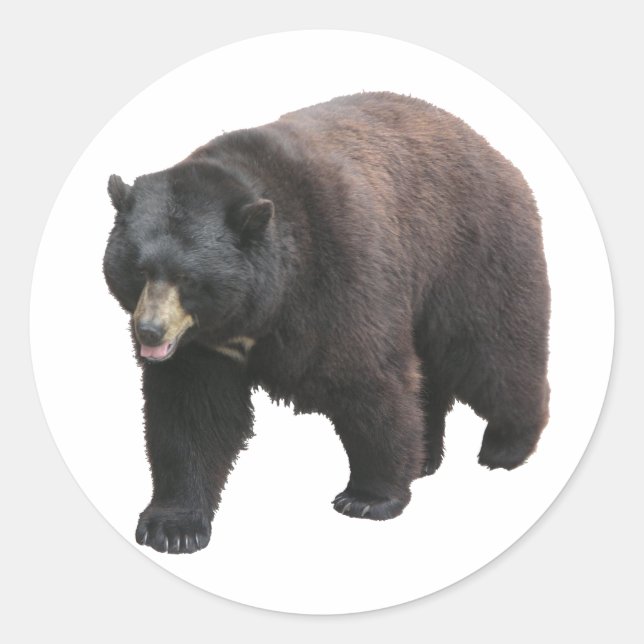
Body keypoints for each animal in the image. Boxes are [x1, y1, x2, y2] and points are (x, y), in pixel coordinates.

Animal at [103, 92, 550, 554]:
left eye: (188, 278)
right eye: (139, 270)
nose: (149, 331)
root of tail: (494, 152)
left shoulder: (340, 273)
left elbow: (369, 378)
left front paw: (369, 496)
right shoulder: (201, 346)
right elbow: (190, 411)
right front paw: (172, 526)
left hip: (472, 254)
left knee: (491, 352)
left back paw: (506, 446)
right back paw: (426, 455)